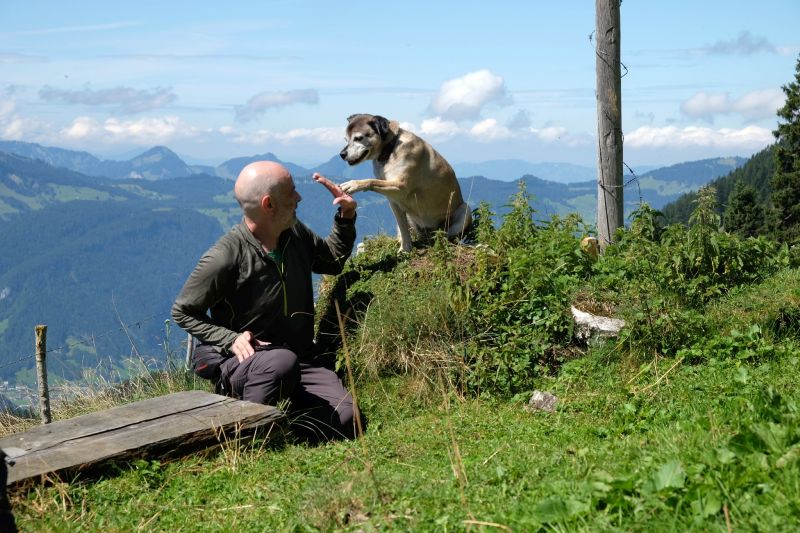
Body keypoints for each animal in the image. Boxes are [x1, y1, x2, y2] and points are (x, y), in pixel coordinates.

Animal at [336, 113, 468, 250]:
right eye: (346, 139)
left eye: (358, 138)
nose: (342, 154)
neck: (390, 149)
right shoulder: (394, 202)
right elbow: (403, 228)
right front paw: (405, 249)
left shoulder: (400, 186)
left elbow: (371, 181)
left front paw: (353, 184)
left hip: (464, 211)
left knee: (448, 234)